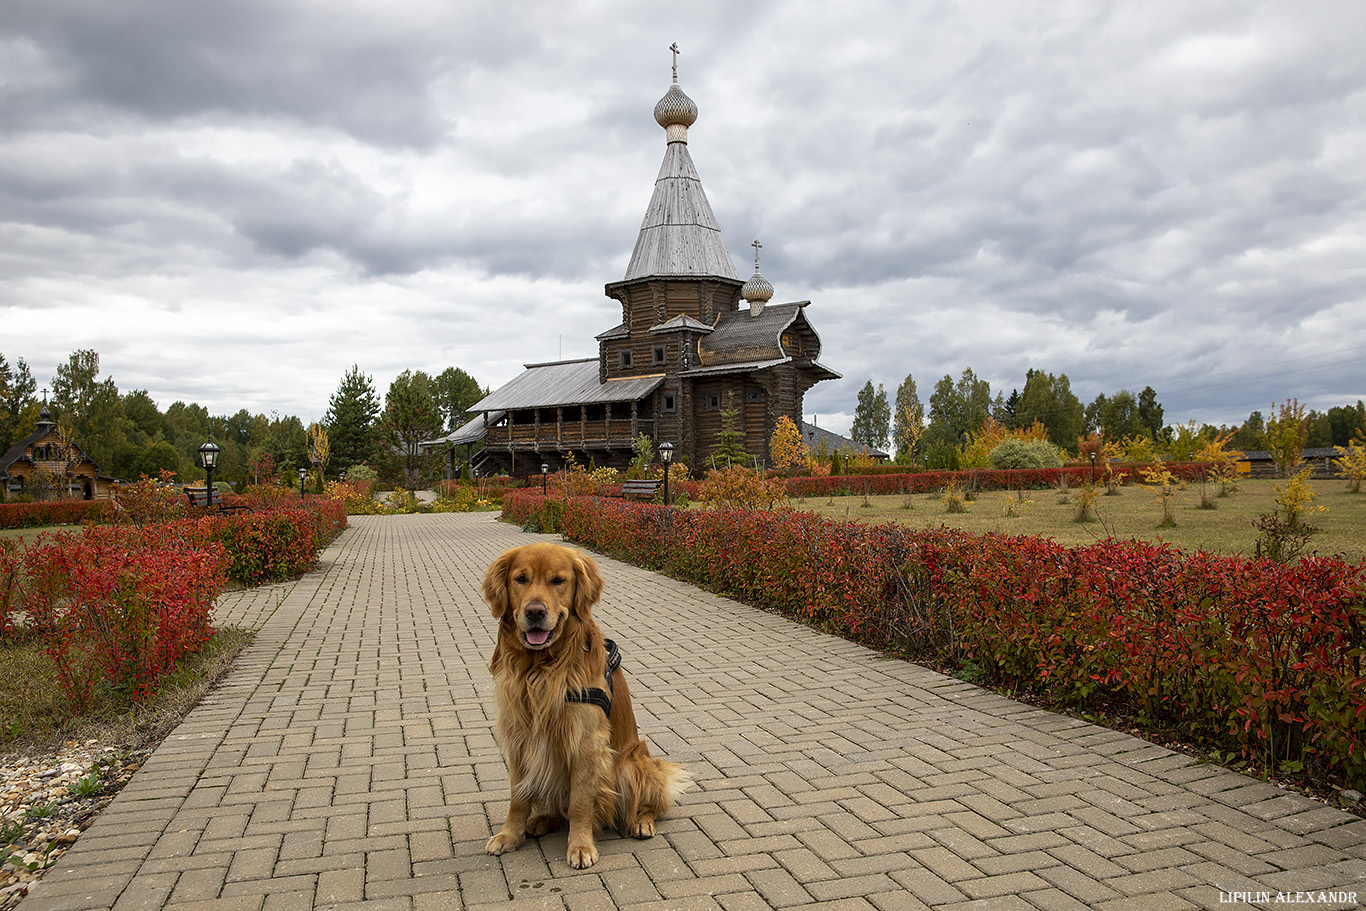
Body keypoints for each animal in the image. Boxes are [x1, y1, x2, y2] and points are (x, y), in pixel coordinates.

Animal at [483, 540, 693, 868]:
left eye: (558, 581)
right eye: (521, 579)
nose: (534, 612)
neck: (541, 667)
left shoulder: (585, 741)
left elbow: (580, 801)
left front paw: (581, 846)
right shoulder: (518, 735)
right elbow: (518, 796)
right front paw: (509, 835)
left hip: (629, 764)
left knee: (649, 805)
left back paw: (641, 822)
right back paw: (542, 820)